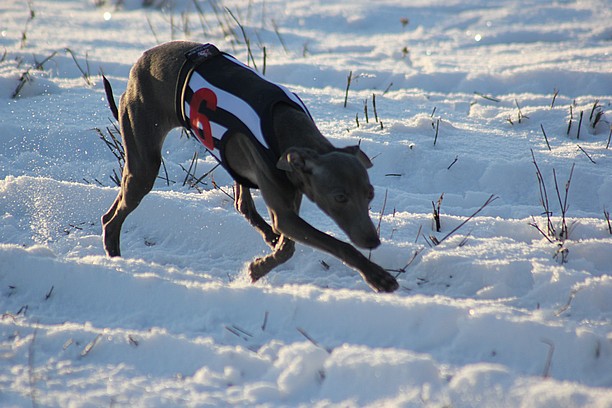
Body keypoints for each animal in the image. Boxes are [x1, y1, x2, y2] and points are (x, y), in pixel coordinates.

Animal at [103, 40, 400, 294]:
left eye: (370, 194)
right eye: (340, 197)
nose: (373, 241)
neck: (289, 129)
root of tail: (141, 60)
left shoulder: (290, 198)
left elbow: (287, 246)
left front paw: (259, 267)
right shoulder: (286, 213)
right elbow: (337, 245)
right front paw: (378, 276)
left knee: (242, 204)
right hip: (144, 161)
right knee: (112, 217)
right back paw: (116, 261)